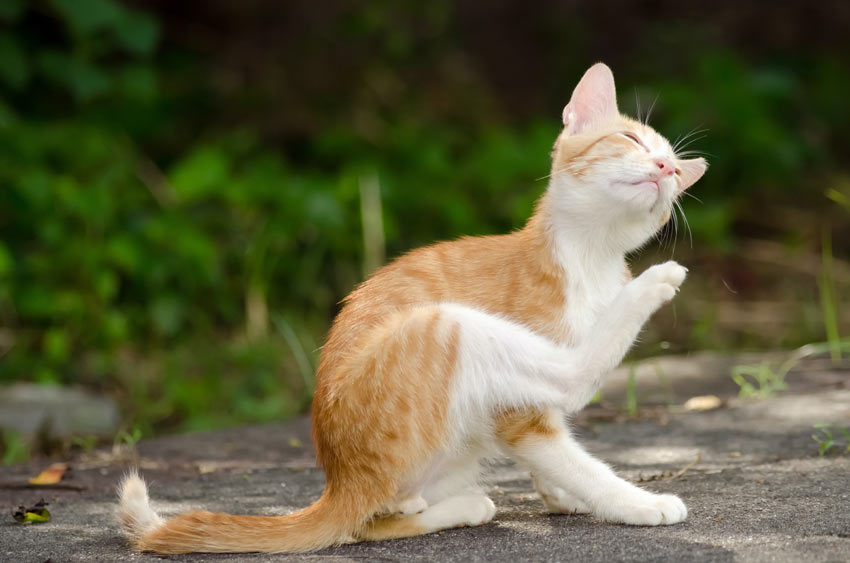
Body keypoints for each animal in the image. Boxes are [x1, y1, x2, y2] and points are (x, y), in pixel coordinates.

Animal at [116, 64, 704, 552]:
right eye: (630, 138)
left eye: (676, 173)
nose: (662, 166)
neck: (593, 258)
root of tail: (340, 479)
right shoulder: (521, 416)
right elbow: (573, 456)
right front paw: (633, 503)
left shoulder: (526, 421)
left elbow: (555, 454)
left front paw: (560, 495)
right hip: (445, 322)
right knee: (570, 374)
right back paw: (653, 284)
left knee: (371, 522)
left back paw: (456, 505)